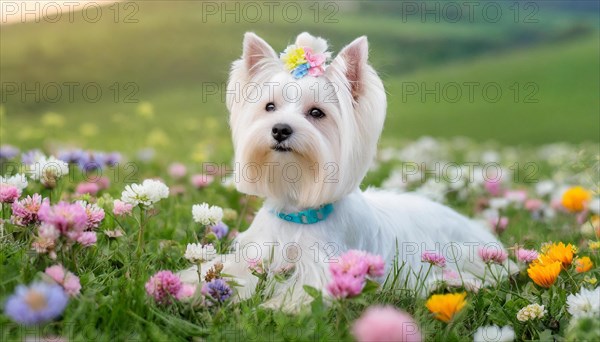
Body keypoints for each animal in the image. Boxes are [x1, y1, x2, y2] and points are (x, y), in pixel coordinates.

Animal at [179, 32, 510, 310]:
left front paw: (274, 308)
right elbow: (225, 273)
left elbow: (302, 293)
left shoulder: (325, 269)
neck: (297, 210)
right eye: (269, 107)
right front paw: (190, 289)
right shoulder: (254, 256)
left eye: (317, 113)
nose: (280, 129)